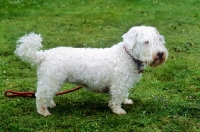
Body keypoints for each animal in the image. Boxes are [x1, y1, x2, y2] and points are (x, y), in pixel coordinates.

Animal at [14, 26, 167, 116]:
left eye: (159, 40)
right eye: (146, 42)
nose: (160, 54)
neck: (127, 55)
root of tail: (43, 55)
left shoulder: (125, 84)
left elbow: (124, 95)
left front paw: (126, 101)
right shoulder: (118, 85)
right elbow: (115, 100)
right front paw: (118, 111)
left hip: (52, 81)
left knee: (46, 95)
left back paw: (50, 104)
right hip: (51, 80)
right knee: (40, 96)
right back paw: (43, 111)